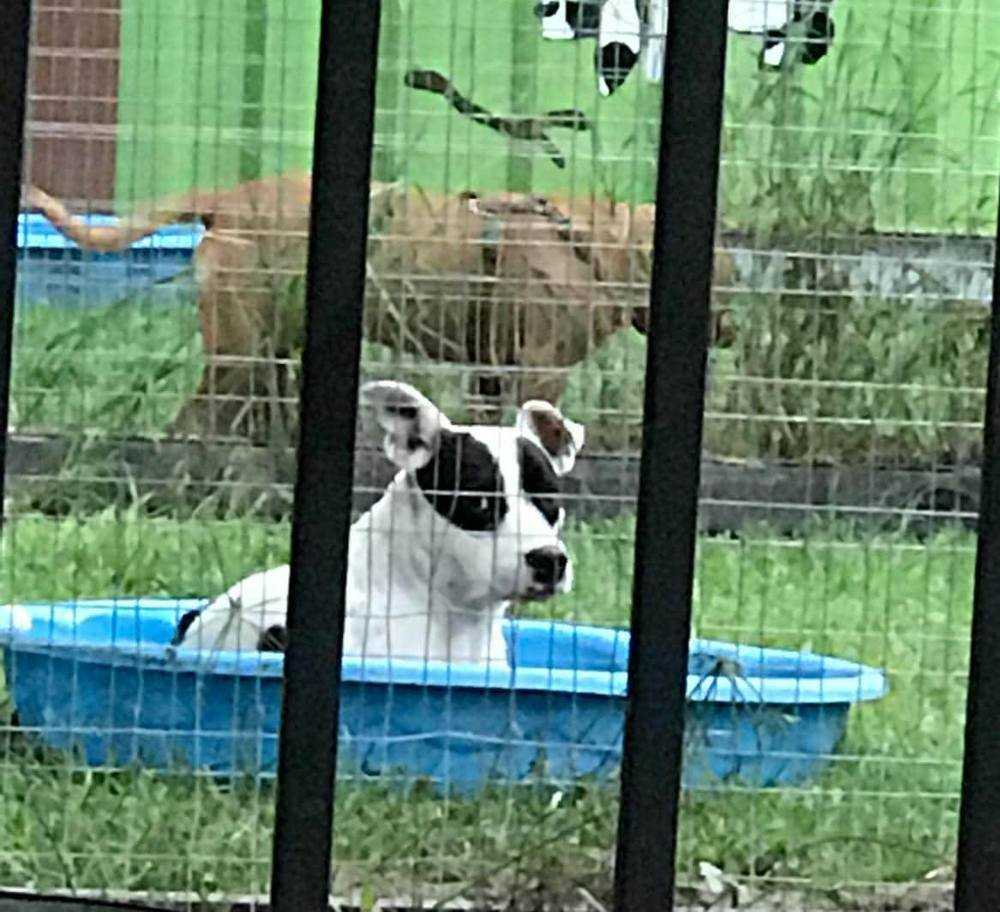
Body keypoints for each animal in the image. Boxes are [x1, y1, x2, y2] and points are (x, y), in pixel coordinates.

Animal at [25, 178, 736, 442]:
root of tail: (226, 197)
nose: (732, 329)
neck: (596, 245)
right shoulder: (540, 372)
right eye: (728, 272)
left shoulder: (488, 375)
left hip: (267, 355)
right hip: (238, 354)